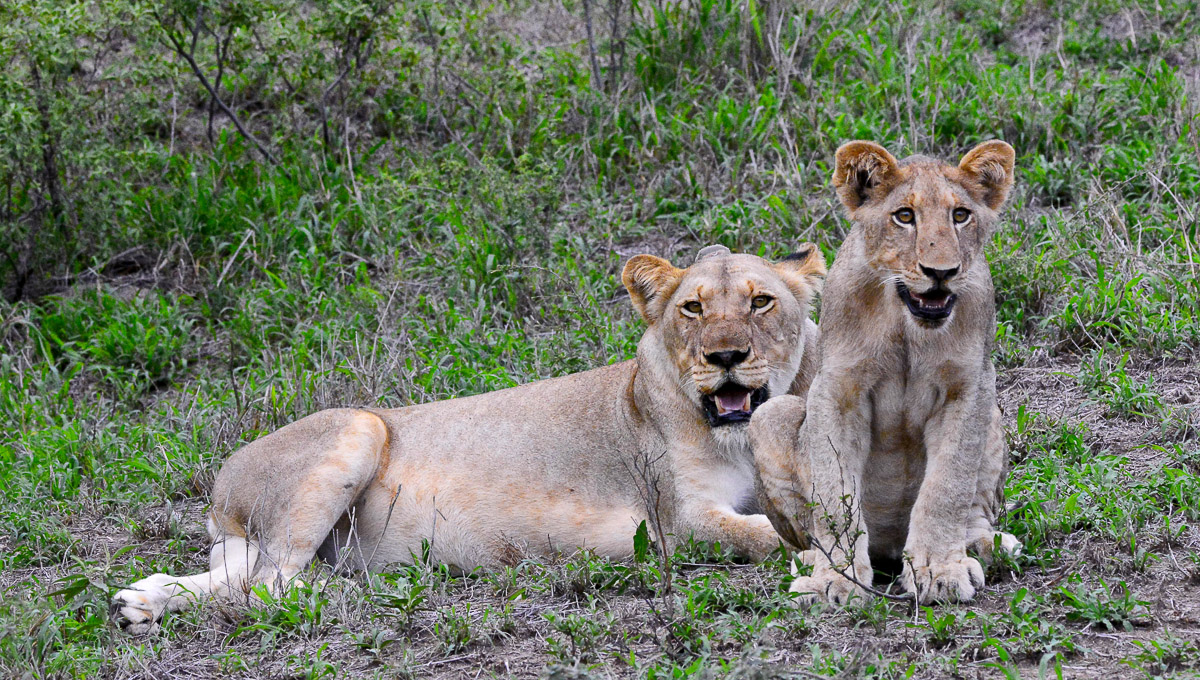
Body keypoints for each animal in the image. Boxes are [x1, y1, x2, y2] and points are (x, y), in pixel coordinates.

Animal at [112, 245, 826, 633]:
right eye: (693, 308)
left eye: (761, 302)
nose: (726, 356)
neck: (738, 434)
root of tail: (222, 483)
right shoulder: (678, 522)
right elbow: (768, 534)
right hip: (359, 424)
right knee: (270, 586)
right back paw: (368, 588)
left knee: (240, 577)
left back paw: (141, 601)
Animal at [748, 140, 1022, 606]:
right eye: (905, 216)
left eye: (960, 215)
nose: (941, 273)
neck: (906, 324)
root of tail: (892, 548)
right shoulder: (837, 390)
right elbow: (835, 494)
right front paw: (835, 579)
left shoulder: (969, 387)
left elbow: (947, 486)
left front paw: (940, 570)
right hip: (769, 415)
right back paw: (811, 560)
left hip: (994, 417)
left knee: (974, 510)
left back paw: (985, 545)